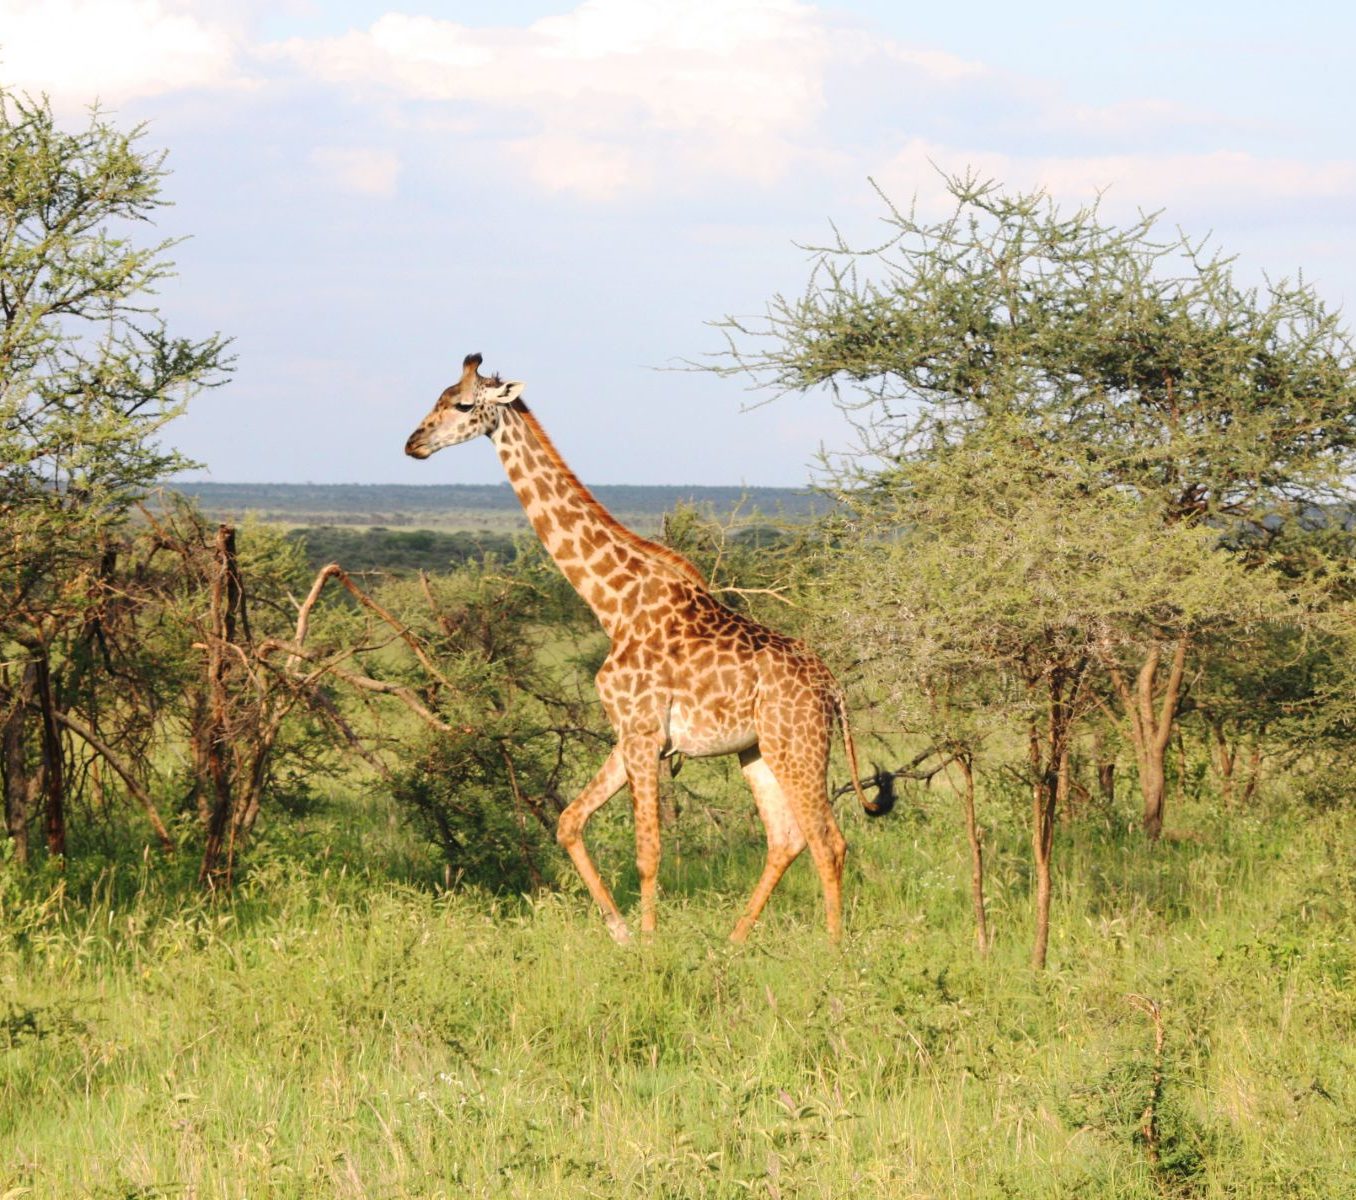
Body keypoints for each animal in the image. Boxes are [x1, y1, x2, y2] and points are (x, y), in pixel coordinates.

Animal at [405, 353, 893, 943]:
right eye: (436, 397)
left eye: (460, 404)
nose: (413, 443)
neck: (613, 602)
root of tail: (834, 689)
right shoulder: (632, 735)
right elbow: (569, 822)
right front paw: (620, 931)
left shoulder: (641, 734)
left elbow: (648, 851)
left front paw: (649, 944)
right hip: (755, 750)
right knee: (786, 837)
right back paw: (733, 943)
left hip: (795, 744)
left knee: (828, 841)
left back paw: (832, 950)